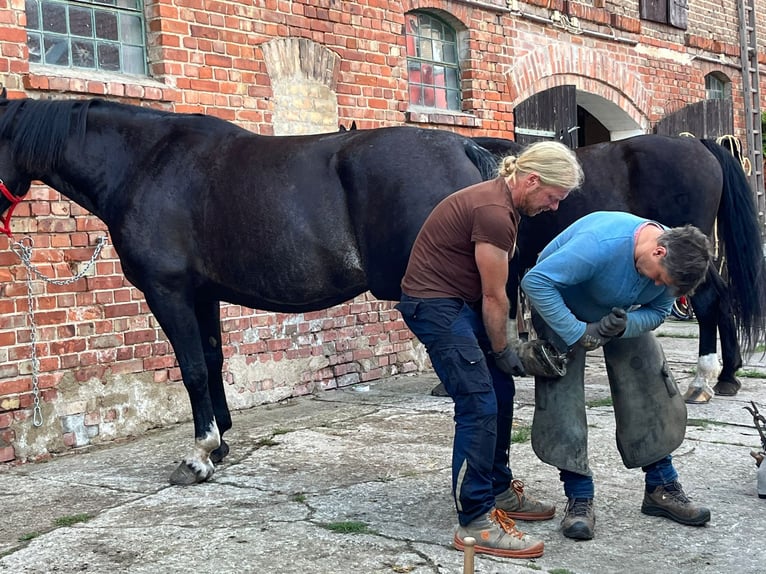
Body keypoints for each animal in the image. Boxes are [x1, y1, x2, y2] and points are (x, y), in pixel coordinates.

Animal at [0, 97, 498, 484]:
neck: (144, 163)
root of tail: (462, 147)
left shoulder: (168, 292)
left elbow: (192, 369)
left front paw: (198, 455)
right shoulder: (202, 294)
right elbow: (212, 361)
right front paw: (219, 443)